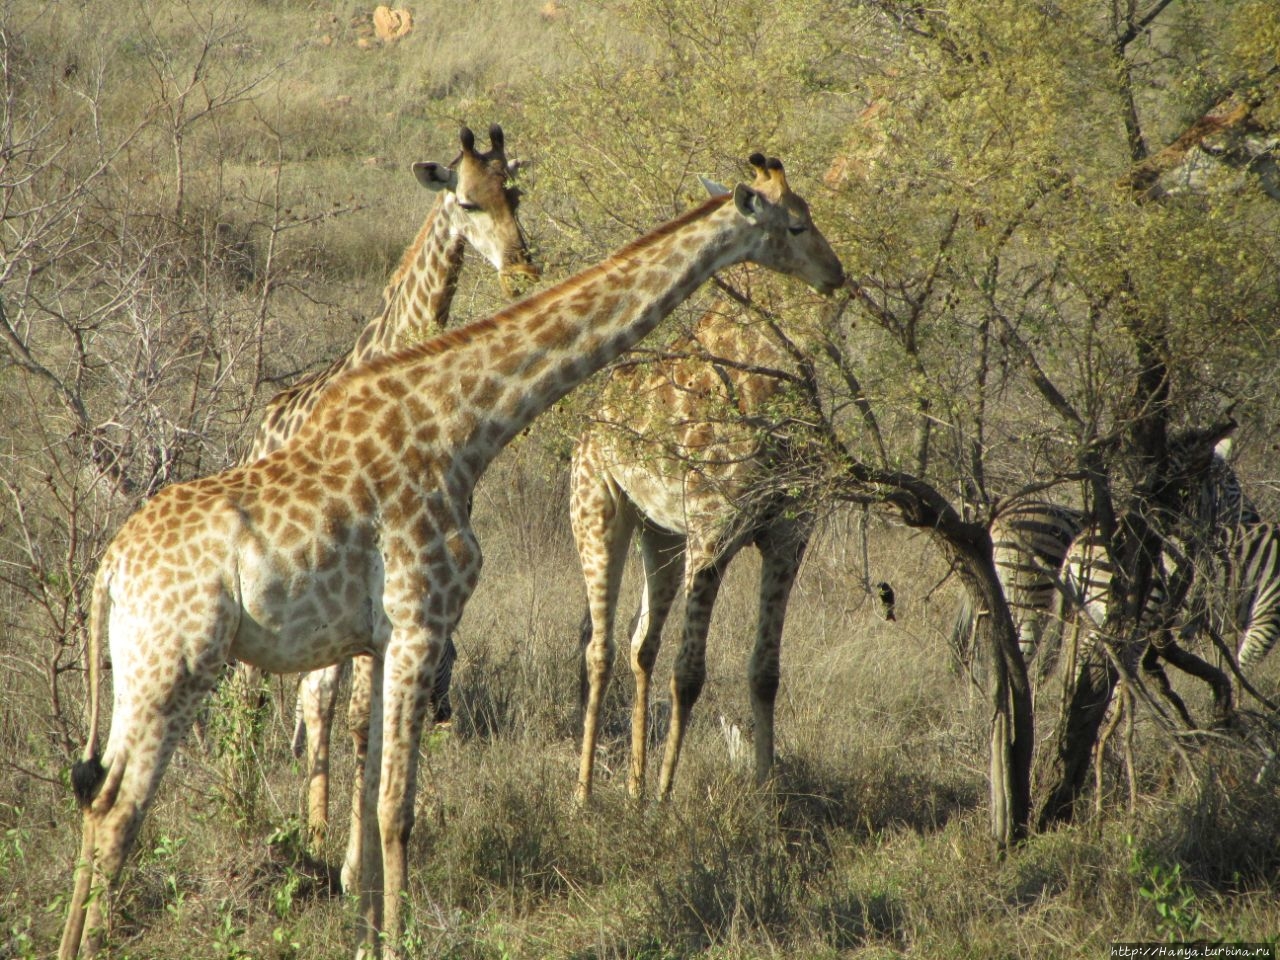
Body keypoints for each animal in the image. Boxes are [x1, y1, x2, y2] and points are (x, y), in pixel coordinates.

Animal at [238, 122, 537, 865]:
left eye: (514, 193)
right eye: (466, 201)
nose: (521, 270)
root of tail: (259, 427)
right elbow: (356, 716)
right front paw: (354, 858)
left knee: (313, 695)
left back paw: (314, 827)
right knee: (282, 695)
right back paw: (273, 818)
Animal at [568, 267, 829, 808]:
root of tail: (590, 419)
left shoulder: (789, 536)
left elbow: (766, 672)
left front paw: (765, 790)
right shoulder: (713, 530)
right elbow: (689, 674)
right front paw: (667, 799)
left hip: (661, 533)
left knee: (641, 643)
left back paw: (634, 788)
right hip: (598, 509)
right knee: (599, 650)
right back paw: (584, 797)